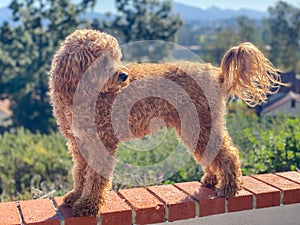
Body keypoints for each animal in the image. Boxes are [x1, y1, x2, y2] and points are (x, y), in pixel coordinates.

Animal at [49, 29, 284, 216]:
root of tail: (214, 72)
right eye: (102, 58)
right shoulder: (79, 144)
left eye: (115, 56)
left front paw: (87, 206)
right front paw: (75, 196)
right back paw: (212, 179)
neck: (83, 92)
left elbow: (95, 178)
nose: (124, 75)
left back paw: (229, 187)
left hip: (200, 124)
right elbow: (80, 173)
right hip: (197, 127)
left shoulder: (101, 142)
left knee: (229, 155)